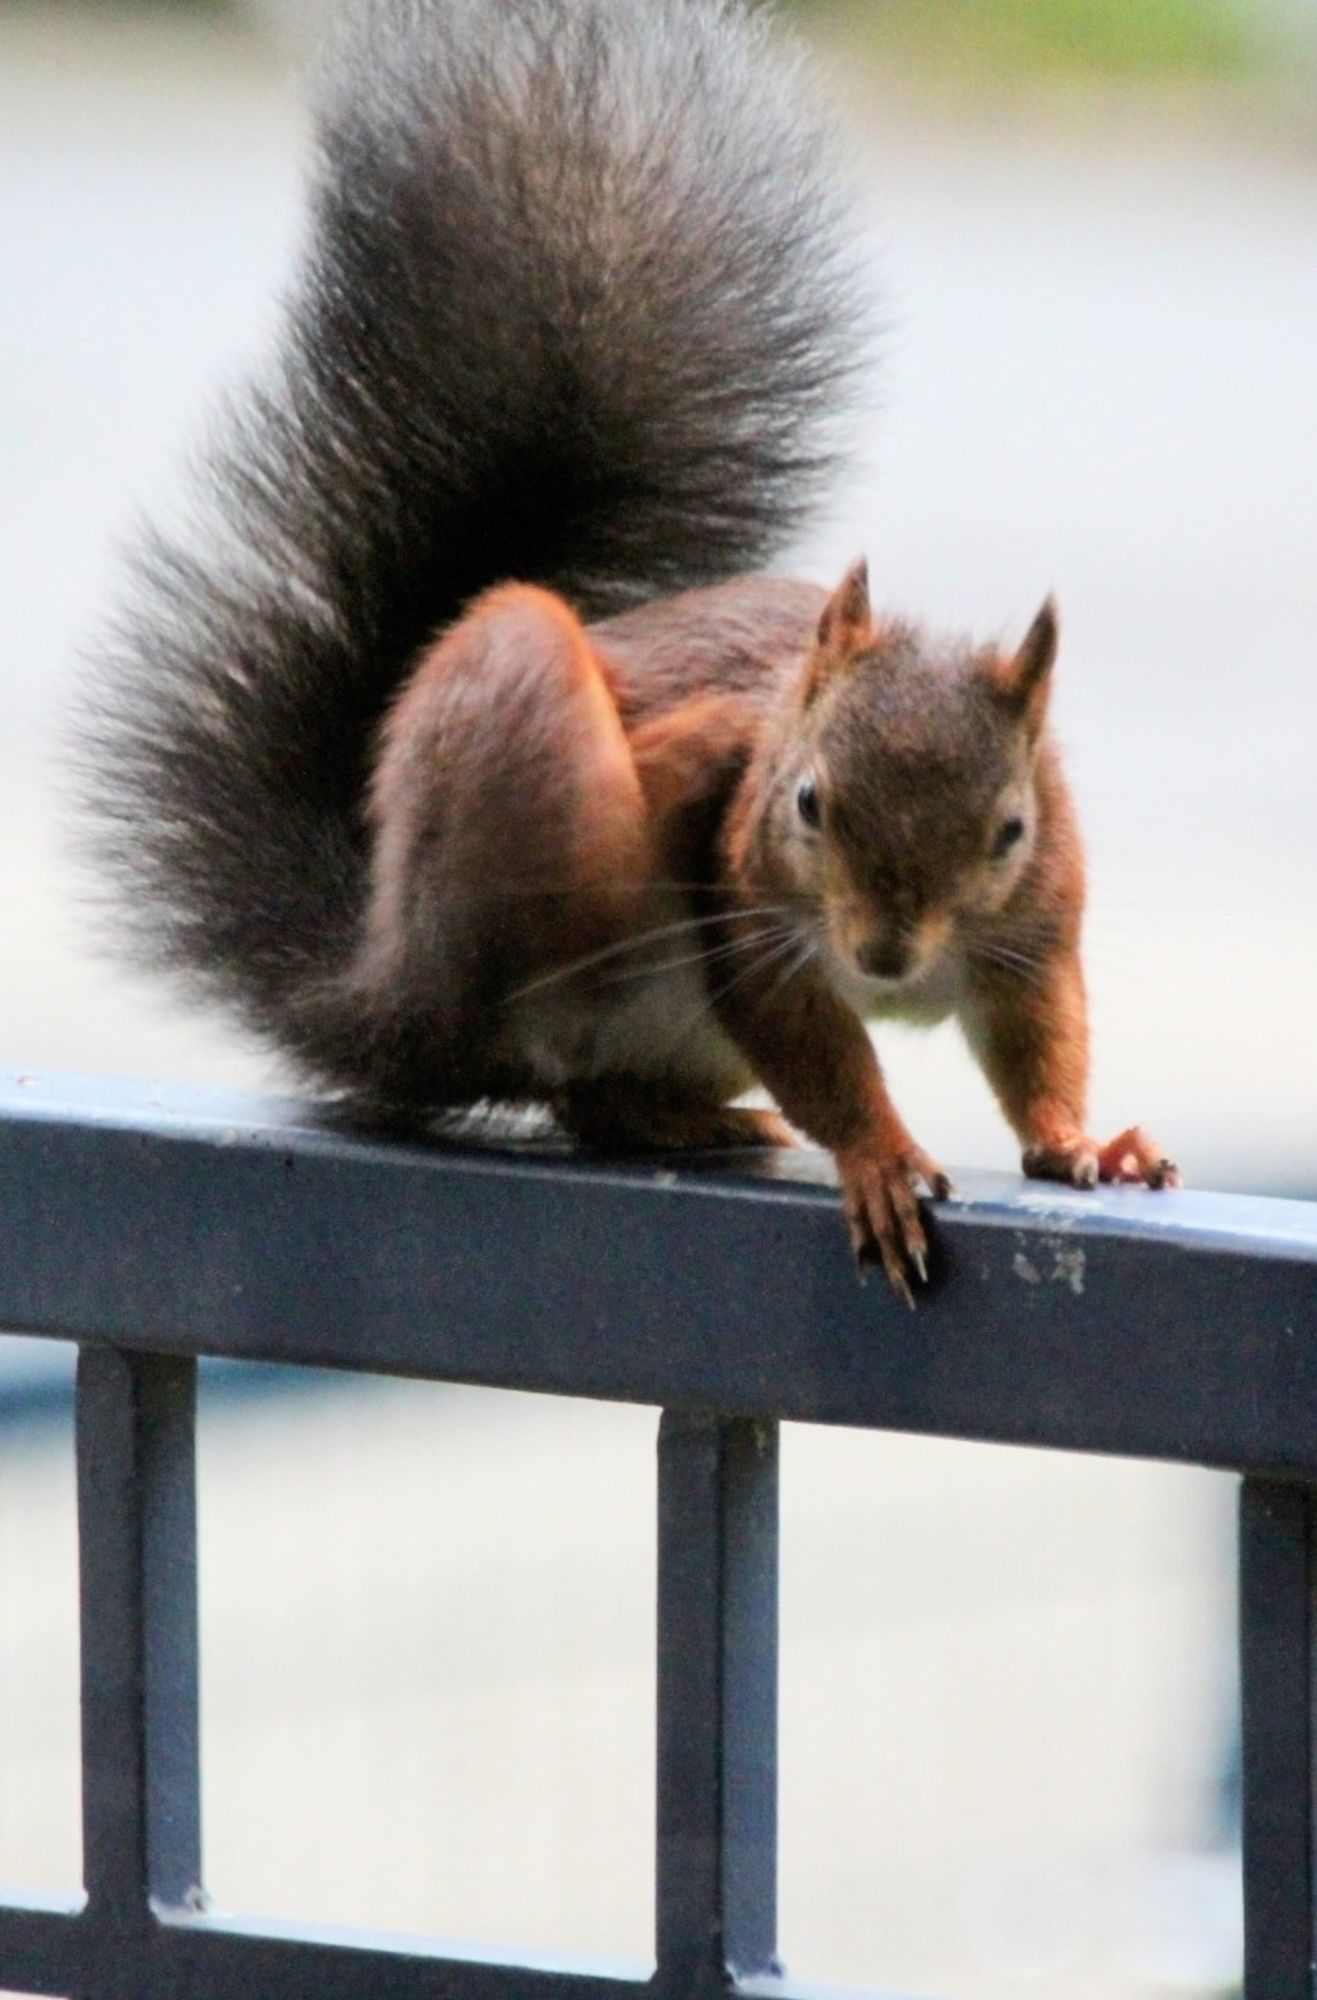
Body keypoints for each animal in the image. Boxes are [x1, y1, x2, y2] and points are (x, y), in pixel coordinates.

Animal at [77, 0, 1176, 1304]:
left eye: (1009, 829)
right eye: (806, 802)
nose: (885, 952)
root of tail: (386, 986)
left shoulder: (1036, 930)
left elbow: (1039, 1039)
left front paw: (1081, 1141)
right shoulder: (753, 920)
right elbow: (820, 1052)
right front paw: (880, 1157)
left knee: (591, 1103)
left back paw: (699, 1118)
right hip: (523, 735)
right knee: (569, 1009)